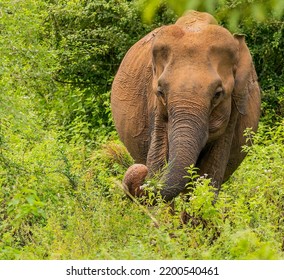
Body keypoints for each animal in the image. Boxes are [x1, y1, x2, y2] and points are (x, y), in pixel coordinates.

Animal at [110, 10, 260, 201]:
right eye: (160, 92)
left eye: (217, 94)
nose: (140, 171)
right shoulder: (156, 108)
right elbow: (158, 159)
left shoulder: (233, 107)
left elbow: (211, 173)